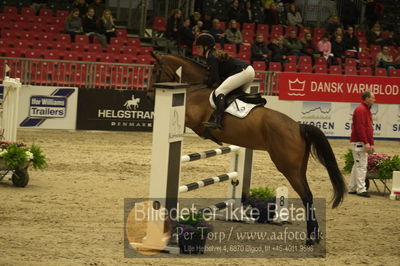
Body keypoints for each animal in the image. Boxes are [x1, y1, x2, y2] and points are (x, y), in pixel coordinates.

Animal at [152, 54, 346, 245]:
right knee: (309, 195)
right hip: (299, 168)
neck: (197, 89)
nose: (149, 94)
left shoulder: (192, 119)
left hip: (288, 167)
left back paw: (310, 238)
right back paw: (315, 235)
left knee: (305, 196)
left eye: (155, 70)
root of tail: (298, 127)